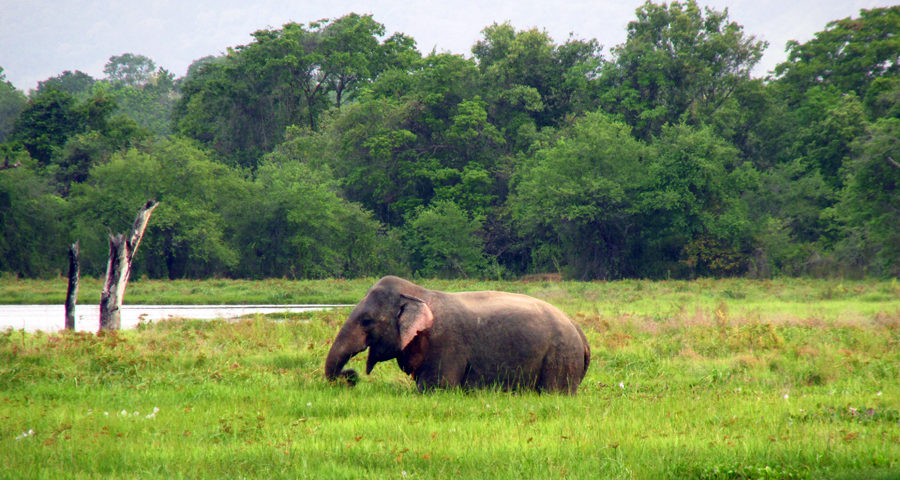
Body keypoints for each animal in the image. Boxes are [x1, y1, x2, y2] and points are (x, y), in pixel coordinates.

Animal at [324, 274, 592, 394]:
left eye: (366, 321)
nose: (350, 376)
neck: (419, 292)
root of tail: (579, 331)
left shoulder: (445, 343)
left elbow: (436, 387)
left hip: (560, 358)